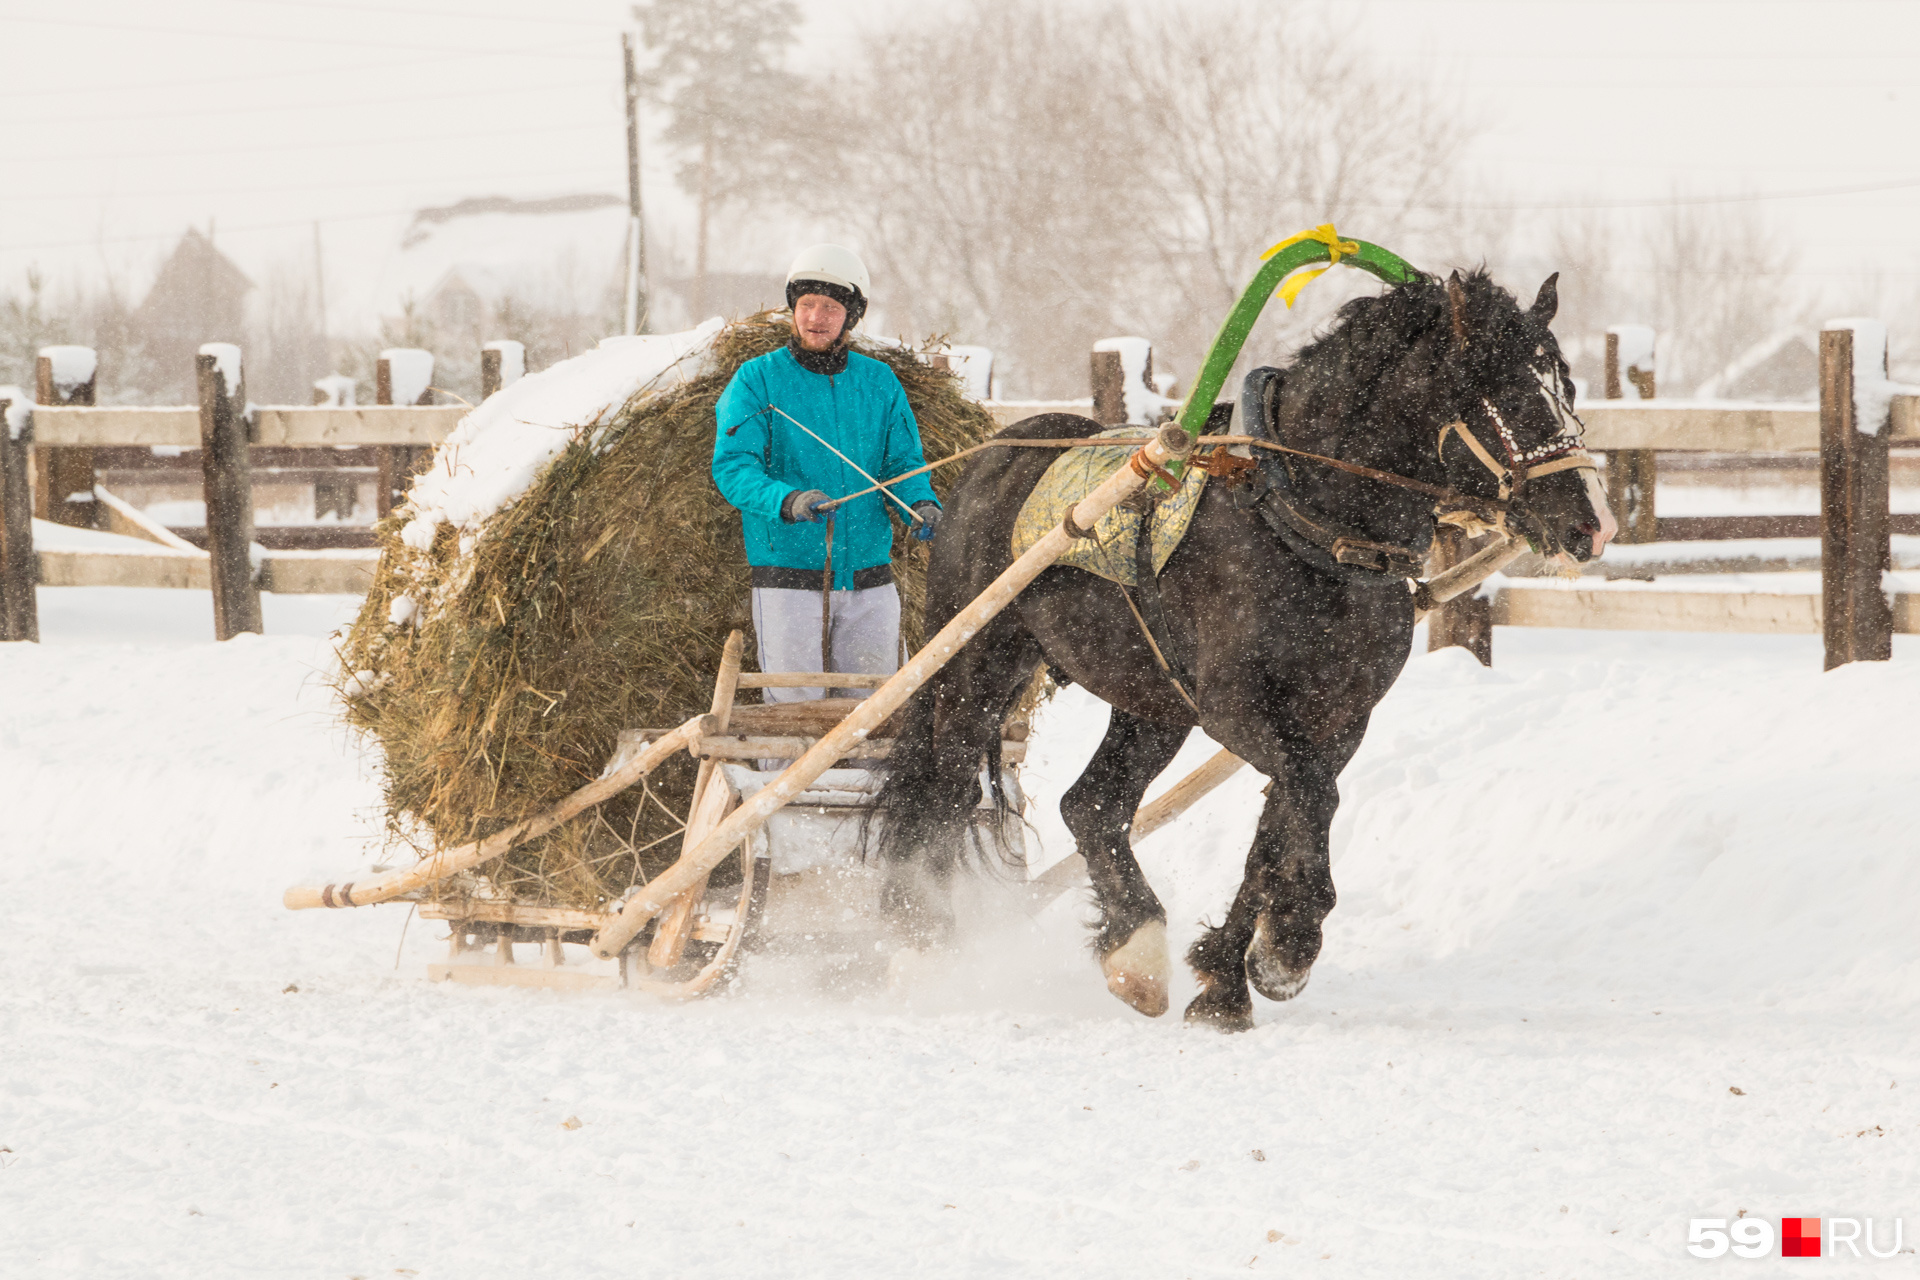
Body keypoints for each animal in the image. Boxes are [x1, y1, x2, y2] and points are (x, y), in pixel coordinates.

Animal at [879, 268, 1612, 1028]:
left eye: (1567, 385)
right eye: (1510, 393)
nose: (1592, 524)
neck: (1306, 526)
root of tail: (995, 453)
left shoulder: (1337, 720)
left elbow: (1283, 822)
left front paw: (1227, 976)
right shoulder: (1237, 710)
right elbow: (1310, 796)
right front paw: (1289, 941)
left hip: (1152, 700)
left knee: (1091, 805)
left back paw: (1134, 946)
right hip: (975, 662)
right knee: (943, 786)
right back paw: (920, 938)